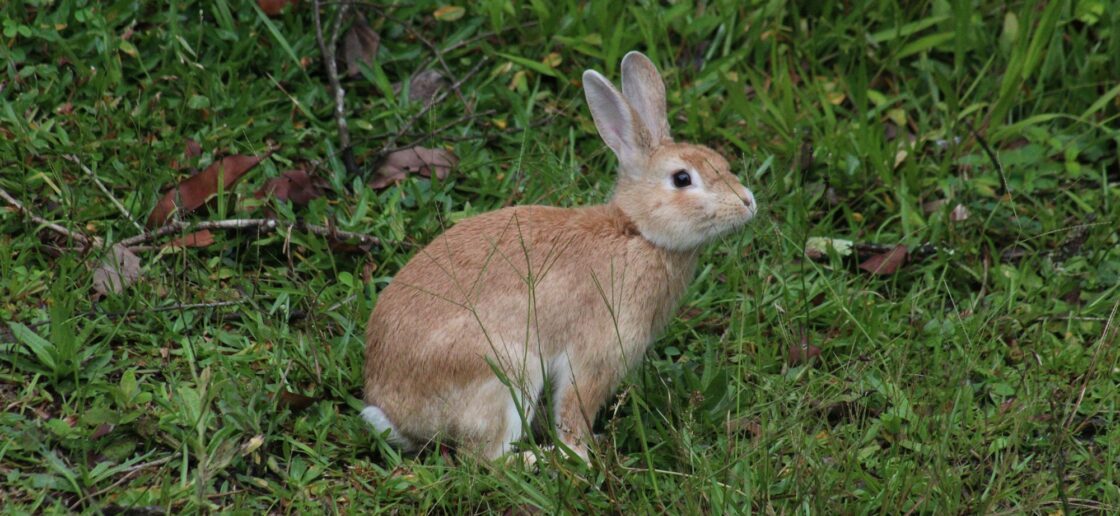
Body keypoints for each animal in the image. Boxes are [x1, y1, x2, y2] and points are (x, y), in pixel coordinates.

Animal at [362, 50, 757, 461]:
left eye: (719, 160)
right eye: (682, 179)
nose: (748, 202)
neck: (637, 232)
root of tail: (395, 413)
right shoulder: (596, 354)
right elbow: (573, 409)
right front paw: (581, 454)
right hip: (506, 373)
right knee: (486, 458)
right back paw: (540, 458)